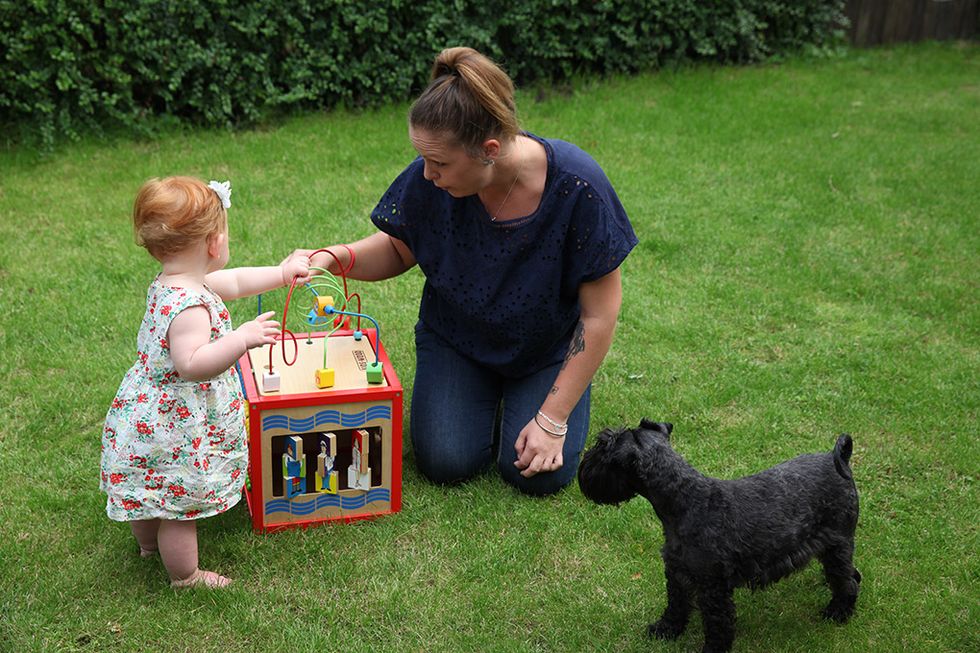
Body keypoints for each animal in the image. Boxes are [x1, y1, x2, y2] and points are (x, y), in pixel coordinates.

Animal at [580, 418, 860, 652]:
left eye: (603, 445)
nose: (583, 468)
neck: (686, 500)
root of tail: (839, 459)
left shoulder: (712, 587)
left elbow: (718, 625)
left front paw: (711, 649)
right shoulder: (676, 572)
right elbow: (675, 605)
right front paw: (665, 630)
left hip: (838, 545)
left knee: (848, 580)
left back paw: (838, 613)